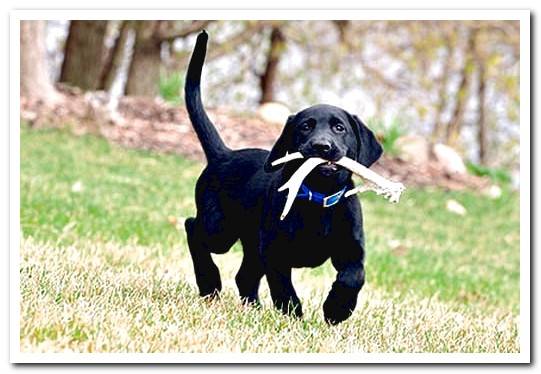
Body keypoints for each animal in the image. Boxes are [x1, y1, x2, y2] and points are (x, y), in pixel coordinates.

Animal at [184, 31, 382, 324]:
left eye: (339, 128)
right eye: (305, 127)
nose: (321, 146)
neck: (317, 197)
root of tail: (224, 154)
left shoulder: (351, 249)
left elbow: (353, 276)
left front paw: (337, 309)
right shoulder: (274, 250)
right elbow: (283, 286)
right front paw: (294, 315)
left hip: (250, 243)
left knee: (244, 276)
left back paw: (252, 306)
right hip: (219, 230)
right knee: (192, 227)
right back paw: (209, 284)